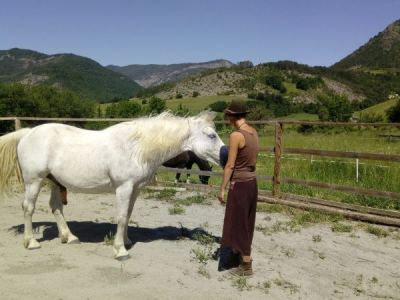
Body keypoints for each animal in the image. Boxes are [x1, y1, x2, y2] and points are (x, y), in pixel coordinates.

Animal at [0, 110, 225, 260]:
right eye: (211, 135)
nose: (225, 156)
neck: (136, 147)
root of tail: (27, 133)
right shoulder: (124, 188)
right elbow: (121, 217)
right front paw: (120, 250)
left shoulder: (135, 190)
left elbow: (128, 216)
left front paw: (126, 241)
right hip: (34, 181)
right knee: (28, 208)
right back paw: (31, 242)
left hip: (54, 181)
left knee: (56, 207)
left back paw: (69, 237)